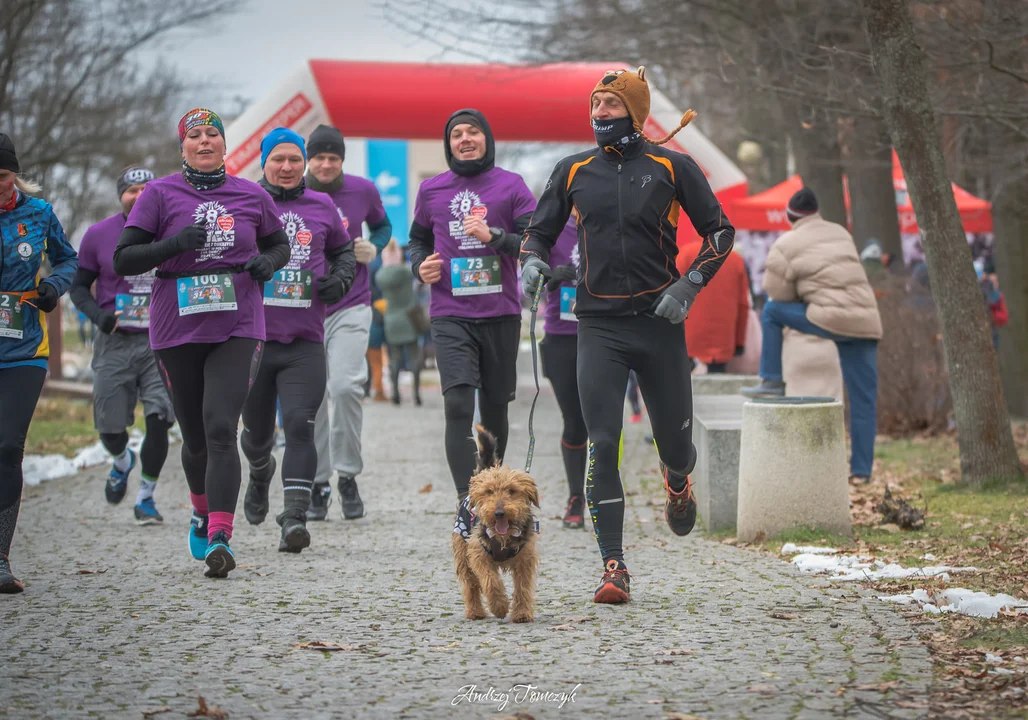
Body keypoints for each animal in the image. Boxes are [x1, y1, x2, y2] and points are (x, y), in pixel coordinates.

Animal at [454, 423, 542, 621]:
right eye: (489, 491)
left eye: (512, 490)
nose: (499, 513)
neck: (504, 538)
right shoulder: (478, 555)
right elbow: (490, 581)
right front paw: (500, 607)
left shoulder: (525, 559)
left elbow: (523, 588)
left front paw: (521, 613)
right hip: (462, 554)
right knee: (470, 585)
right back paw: (475, 612)